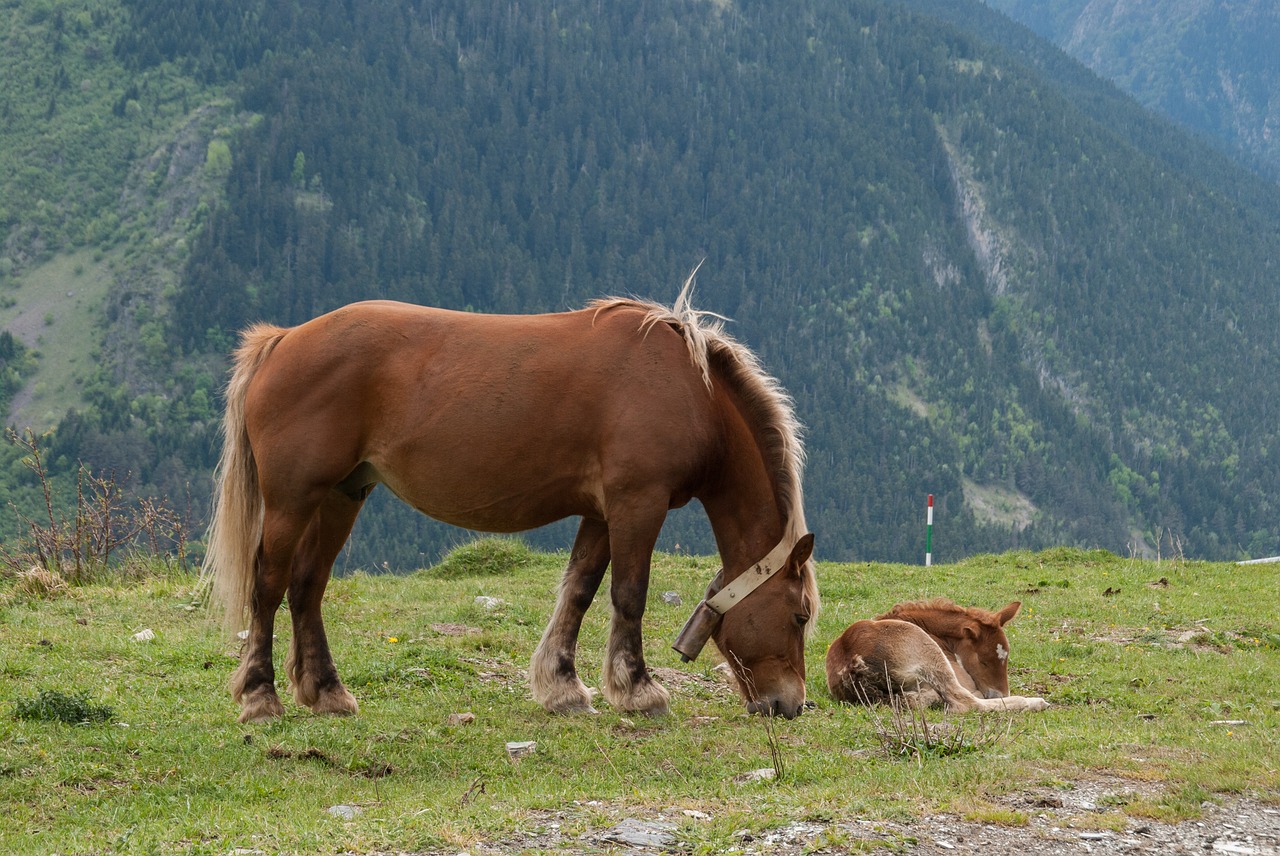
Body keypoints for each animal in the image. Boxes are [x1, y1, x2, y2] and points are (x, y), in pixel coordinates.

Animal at [202, 281, 819, 721]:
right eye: (799, 614)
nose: (790, 704)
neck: (690, 391)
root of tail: (284, 339)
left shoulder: (600, 512)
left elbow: (579, 591)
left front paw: (563, 686)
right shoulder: (636, 503)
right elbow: (628, 595)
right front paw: (638, 690)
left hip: (340, 495)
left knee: (307, 587)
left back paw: (327, 692)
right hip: (292, 500)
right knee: (268, 585)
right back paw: (259, 697)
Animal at [824, 598, 1044, 711]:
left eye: (1006, 658)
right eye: (982, 661)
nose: (1000, 694)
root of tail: (851, 667)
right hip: (930, 655)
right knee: (964, 702)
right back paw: (1034, 702)